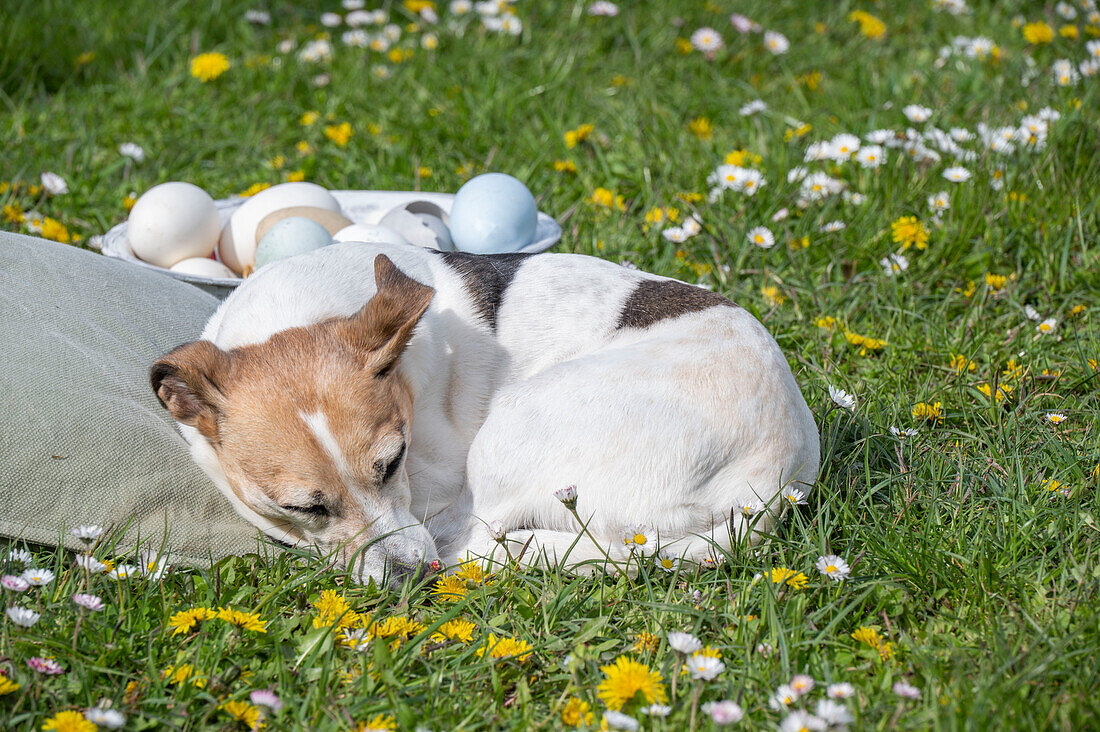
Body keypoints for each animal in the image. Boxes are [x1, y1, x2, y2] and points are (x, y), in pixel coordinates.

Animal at [155, 242, 822, 585]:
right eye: (304, 506)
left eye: (393, 462)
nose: (410, 574)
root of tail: (771, 482)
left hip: (511, 433)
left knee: (488, 535)